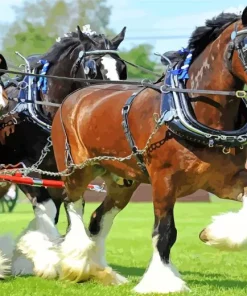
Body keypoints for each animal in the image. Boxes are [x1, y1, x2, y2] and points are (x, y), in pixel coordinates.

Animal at [0, 25, 128, 278]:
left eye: (122, 68)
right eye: (92, 70)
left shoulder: (63, 173)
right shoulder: (27, 169)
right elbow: (48, 210)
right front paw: (47, 260)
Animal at [47, 7, 247, 294]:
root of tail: (73, 98)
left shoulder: (228, 179)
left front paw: (213, 234)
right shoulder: (164, 182)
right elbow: (165, 232)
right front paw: (162, 281)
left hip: (122, 182)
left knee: (98, 218)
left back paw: (101, 271)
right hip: (76, 169)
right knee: (73, 205)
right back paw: (76, 263)